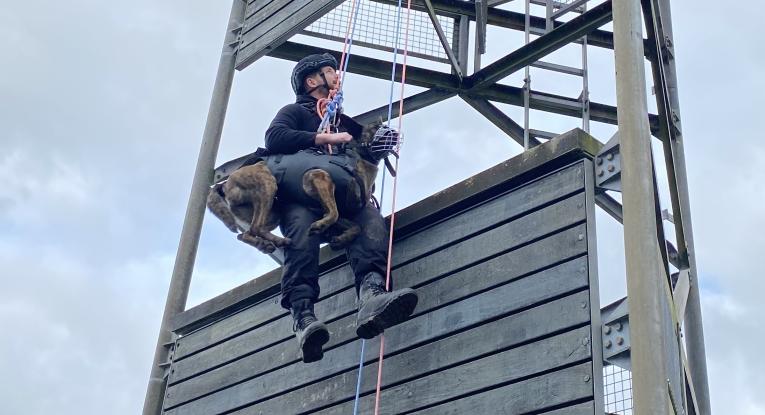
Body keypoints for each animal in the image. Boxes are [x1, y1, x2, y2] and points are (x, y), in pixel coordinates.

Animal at [207, 120, 400, 254]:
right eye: (377, 126)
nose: (395, 133)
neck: (358, 159)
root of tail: (223, 184)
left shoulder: (322, 208)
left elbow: (355, 226)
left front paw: (342, 238)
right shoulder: (318, 178)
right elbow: (334, 213)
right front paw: (320, 226)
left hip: (273, 213)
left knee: (245, 234)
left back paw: (271, 243)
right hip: (268, 184)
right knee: (254, 229)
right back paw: (274, 241)